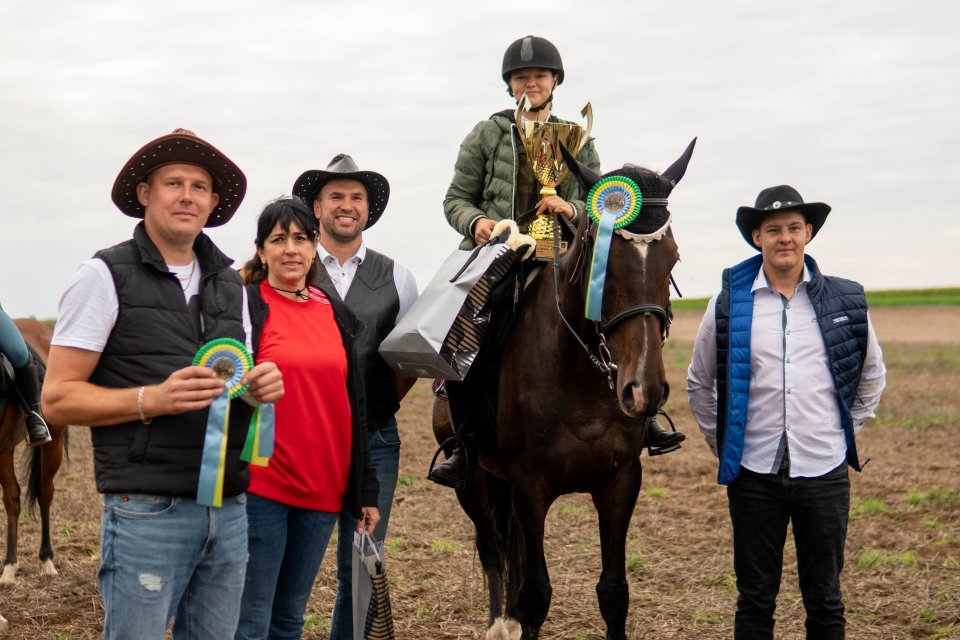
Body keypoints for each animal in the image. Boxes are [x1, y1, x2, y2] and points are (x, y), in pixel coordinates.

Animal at [436, 140, 696, 640]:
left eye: (672, 258)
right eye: (601, 259)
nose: (643, 390)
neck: (581, 382)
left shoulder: (620, 482)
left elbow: (613, 593)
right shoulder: (529, 485)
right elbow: (536, 594)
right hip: (473, 480)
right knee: (493, 549)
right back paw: (500, 623)